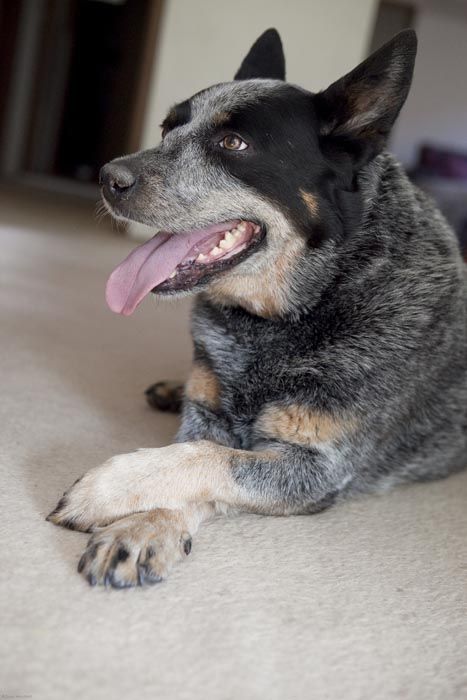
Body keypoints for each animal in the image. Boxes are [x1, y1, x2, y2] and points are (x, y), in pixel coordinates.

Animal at [47, 28, 467, 584]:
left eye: (233, 144)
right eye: (166, 127)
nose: (106, 176)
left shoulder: (316, 466)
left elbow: (204, 459)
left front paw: (114, 495)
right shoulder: (209, 416)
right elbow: (193, 446)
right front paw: (146, 522)